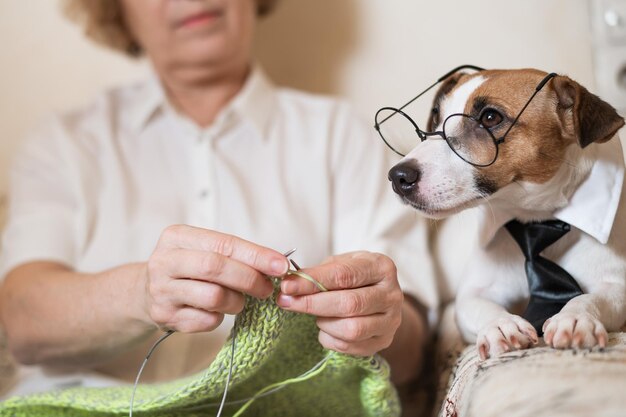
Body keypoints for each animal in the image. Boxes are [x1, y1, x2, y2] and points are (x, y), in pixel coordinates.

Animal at [386, 68, 624, 358]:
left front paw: (576, 317)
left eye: (490, 117)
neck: (535, 217)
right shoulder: (473, 294)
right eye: (436, 116)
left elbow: (591, 297)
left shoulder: (616, 286)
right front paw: (500, 324)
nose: (398, 177)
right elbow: (479, 305)